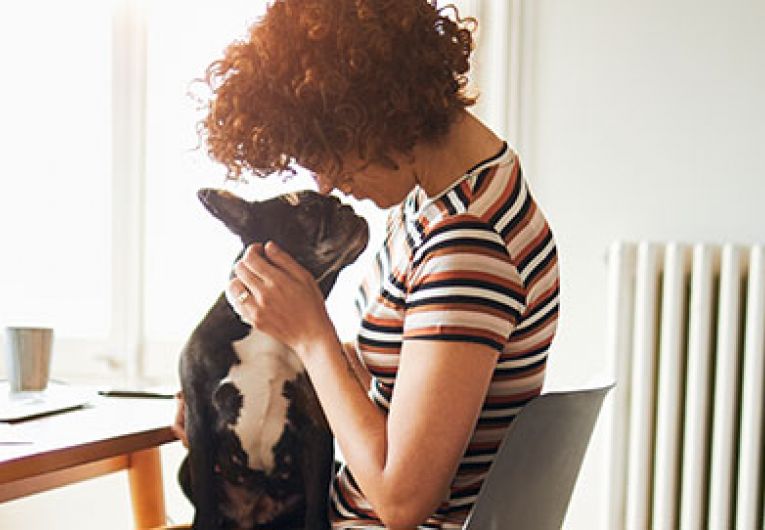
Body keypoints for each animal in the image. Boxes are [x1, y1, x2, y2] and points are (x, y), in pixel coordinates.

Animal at [180, 188, 370, 524]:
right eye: (308, 208)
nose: (347, 207)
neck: (269, 332)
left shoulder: (317, 429)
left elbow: (317, 504)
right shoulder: (198, 423)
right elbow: (205, 501)